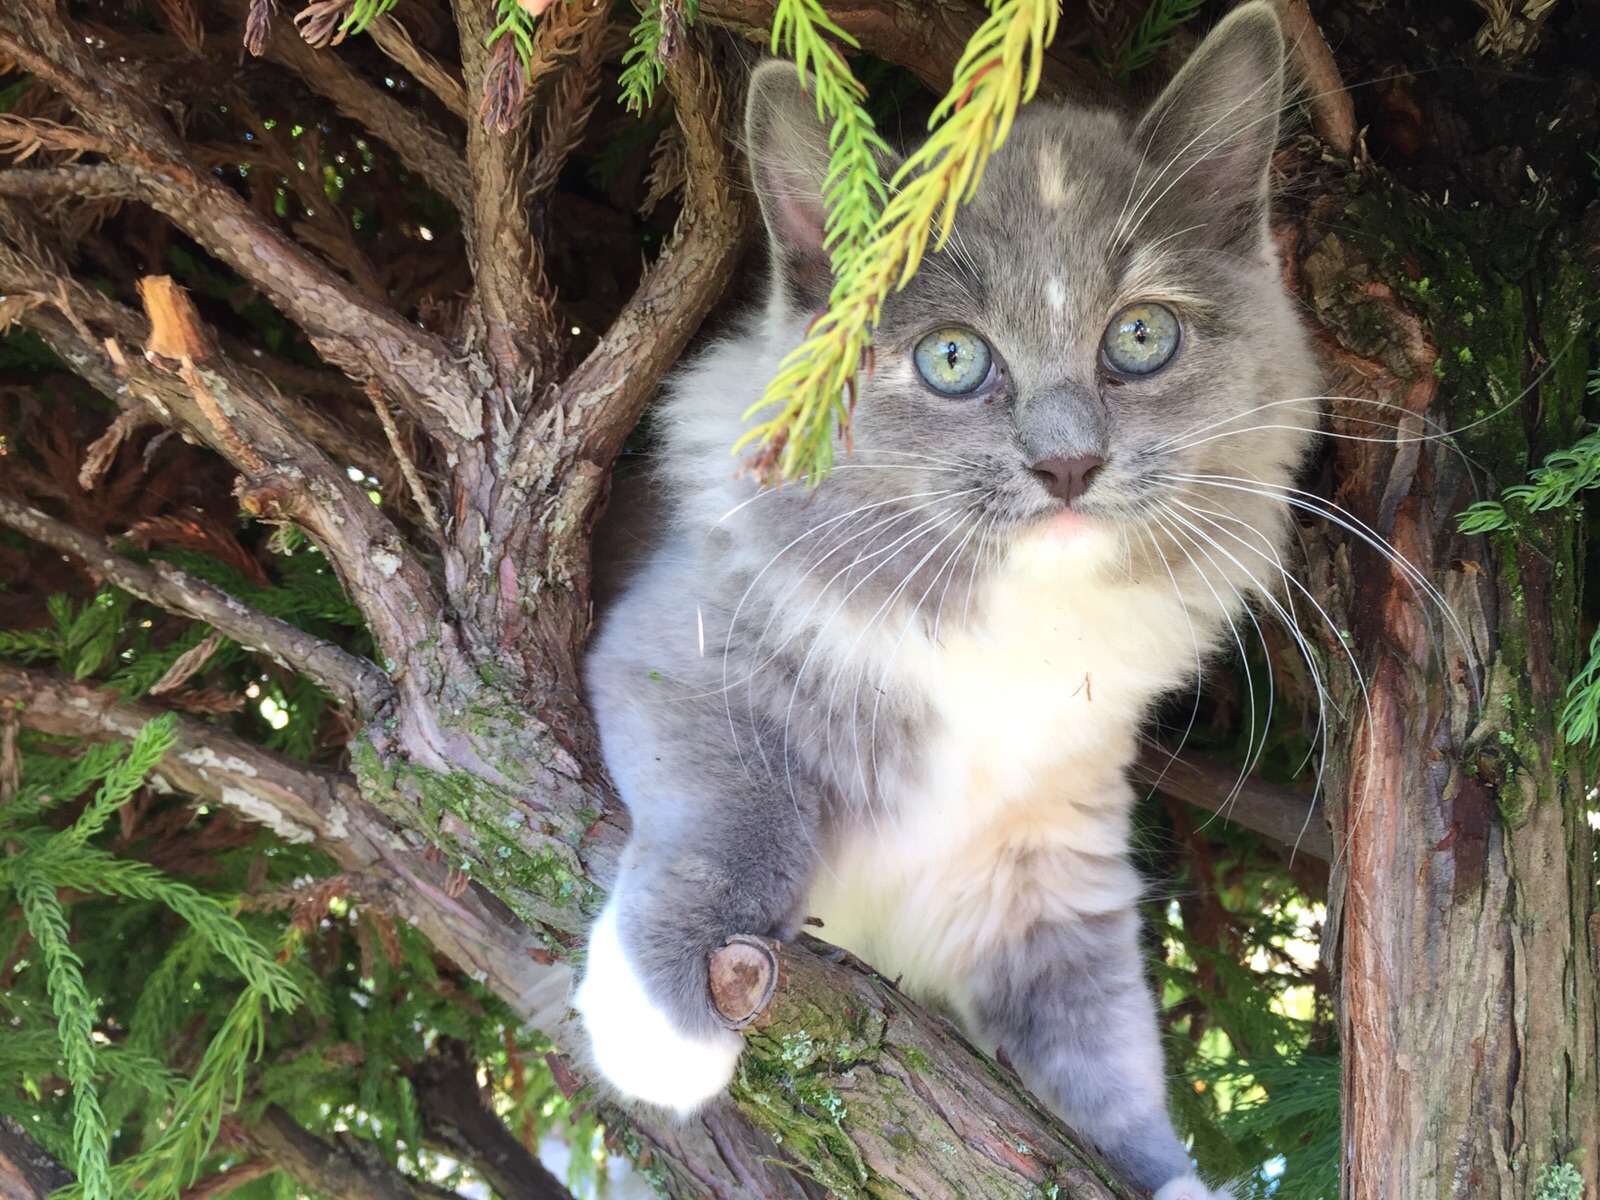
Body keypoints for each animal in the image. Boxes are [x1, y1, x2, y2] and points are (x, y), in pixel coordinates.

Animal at [572, 4, 1312, 1196]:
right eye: (953, 359)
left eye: (1141, 337)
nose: (1068, 463)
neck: (1015, 641)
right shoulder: (675, 654)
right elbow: (732, 817)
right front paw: (663, 1020)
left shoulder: (1051, 868)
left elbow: (1107, 1060)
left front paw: (1168, 1173)